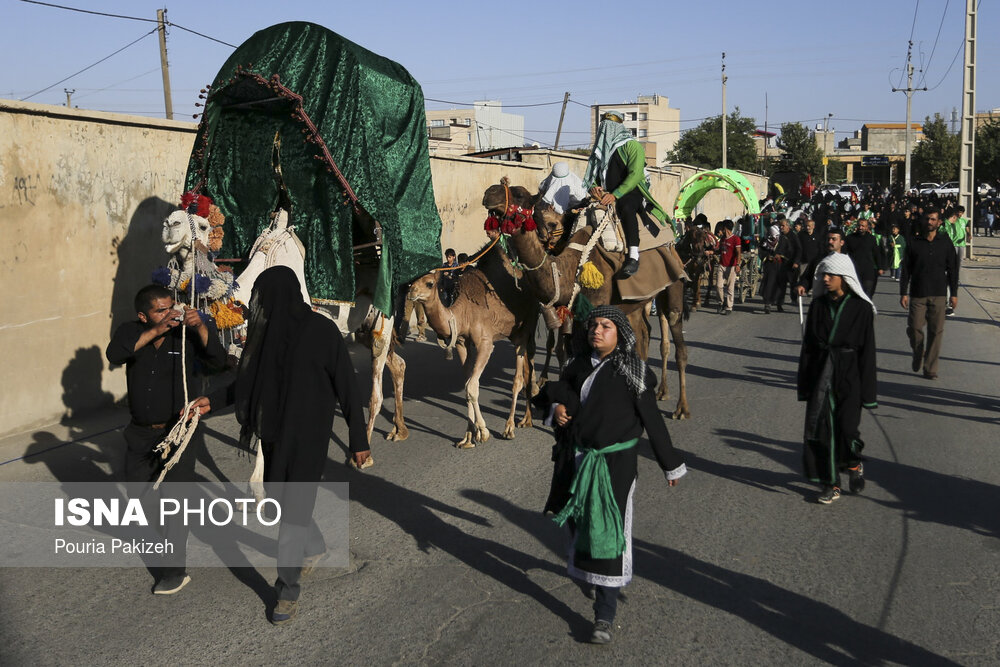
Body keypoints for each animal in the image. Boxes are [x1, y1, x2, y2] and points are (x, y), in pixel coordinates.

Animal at [406, 268, 536, 448]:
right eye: (412, 281)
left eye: (429, 283)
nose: (411, 292)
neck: (462, 314)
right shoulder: (461, 342)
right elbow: (467, 384)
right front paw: (467, 437)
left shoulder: (485, 343)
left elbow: (472, 387)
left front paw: (483, 432)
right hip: (513, 332)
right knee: (527, 366)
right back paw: (526, 418)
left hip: (525, 326)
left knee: (518, 377)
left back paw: (509, 428)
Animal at [480, 180, 692, 420]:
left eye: (518, 194)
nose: (489, 193)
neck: (571, 267)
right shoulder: (574, 313)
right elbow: (570, 354)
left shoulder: (595, 310)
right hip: (635, 303)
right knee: (643, 334)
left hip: (673, 282)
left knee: (677, 342)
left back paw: (680, 408)